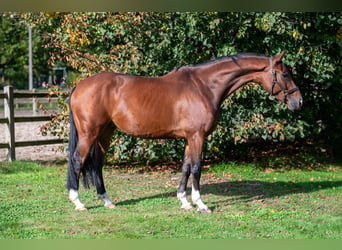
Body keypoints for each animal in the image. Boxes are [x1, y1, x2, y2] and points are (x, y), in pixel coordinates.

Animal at [66, 50, 302, 213]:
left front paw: (184, 201)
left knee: (97, 163)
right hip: (89, 133)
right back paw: (78, 202)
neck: (203, 87)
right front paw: (201, 204)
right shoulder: (198, 136)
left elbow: (186, 167)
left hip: (105, 133)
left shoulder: (190, 137)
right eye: (284, 74)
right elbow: (196, 168)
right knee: (77, 160)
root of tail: (79, 86)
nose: (298, 102)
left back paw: (107, 201)